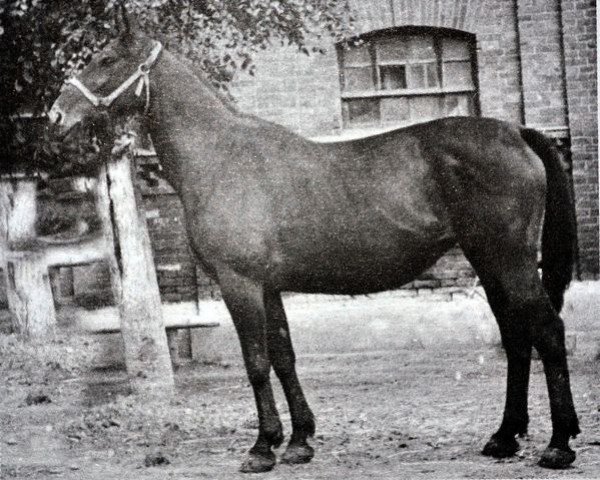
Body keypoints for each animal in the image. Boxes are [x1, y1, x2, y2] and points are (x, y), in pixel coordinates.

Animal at [49, 23, 580, 472]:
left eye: (106, 59)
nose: (56, 115)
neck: (222, 157)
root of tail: (516, 132)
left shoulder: (240, 283)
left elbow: (257, 362)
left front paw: (261, 449)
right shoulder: (267, 287)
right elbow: (284, 356)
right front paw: (299, 441)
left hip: (510, 263)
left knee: (548, 332)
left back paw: (558, 446)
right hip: (489, 263)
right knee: (516, 337)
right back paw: (504, 438)